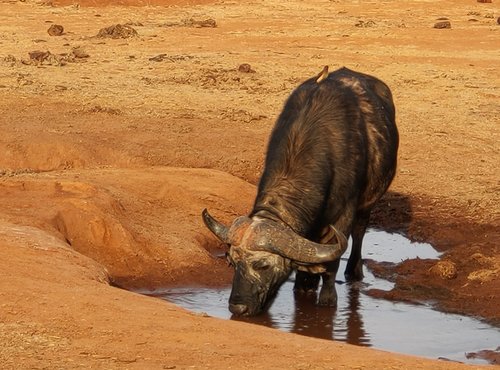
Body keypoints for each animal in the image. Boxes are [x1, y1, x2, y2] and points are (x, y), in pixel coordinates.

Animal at [202, 66, 398, 316]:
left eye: (262, 264)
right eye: (232, 262)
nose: (238, 307)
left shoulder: (343, 216)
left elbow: (332, 264)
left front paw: (327, 299)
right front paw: (304, 286)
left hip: (368, 203)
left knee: (360, 231)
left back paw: (354, 271)